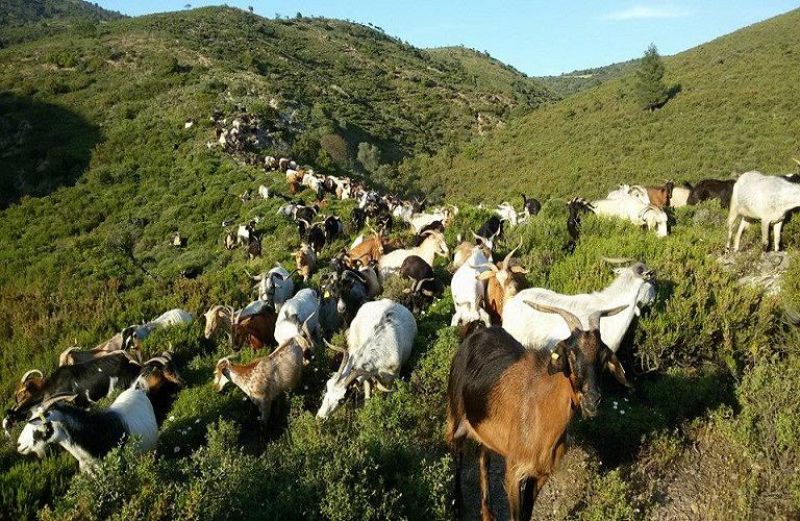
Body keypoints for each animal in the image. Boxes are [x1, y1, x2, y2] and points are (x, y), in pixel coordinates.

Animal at [446, 302, 628, 516]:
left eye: (603, 356)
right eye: (571, 353)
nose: (592, 400)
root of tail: (476, 332)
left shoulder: (540, 473)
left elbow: (527, 512)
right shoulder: (514, 472)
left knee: (483, 459)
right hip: (455, 418)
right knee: (457, 457)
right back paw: (457, 507)